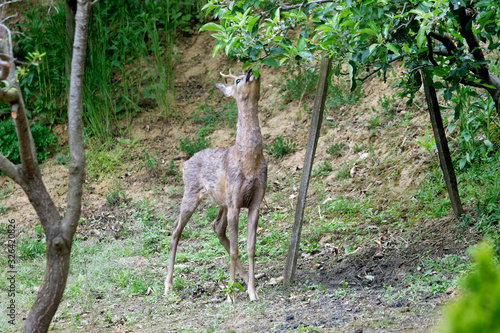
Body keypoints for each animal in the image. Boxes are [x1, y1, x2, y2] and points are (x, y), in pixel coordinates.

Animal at [163, 68, 266, 300]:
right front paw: (231, 296)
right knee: (175, 231)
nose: (250, 70)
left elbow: (251, 248)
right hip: (191, 194)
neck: (249, 160)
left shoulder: (256, 201)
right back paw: (168, 284)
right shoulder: (235, 202)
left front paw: (252, 292)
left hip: (221, 202)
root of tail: (185, 163)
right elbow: (236, 250)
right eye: (237, 80)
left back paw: (243, 281)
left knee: (216, 227)